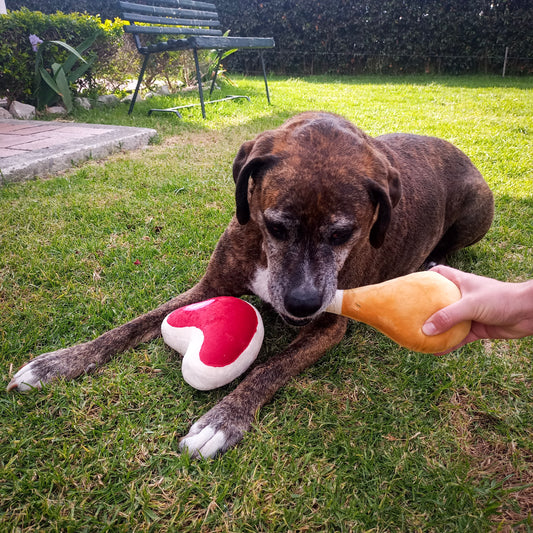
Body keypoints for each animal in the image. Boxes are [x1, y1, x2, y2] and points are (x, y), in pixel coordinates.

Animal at [6, 112, 492, 458]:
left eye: (342, 235)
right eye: (276, 226)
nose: (302, 303)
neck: (263, 249)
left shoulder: (328, 326)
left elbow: (269, 367)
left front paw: (221, 421)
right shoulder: (205, 288)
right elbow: (129, 326)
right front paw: (59, 363)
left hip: (477, 210)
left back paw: (433, 261)